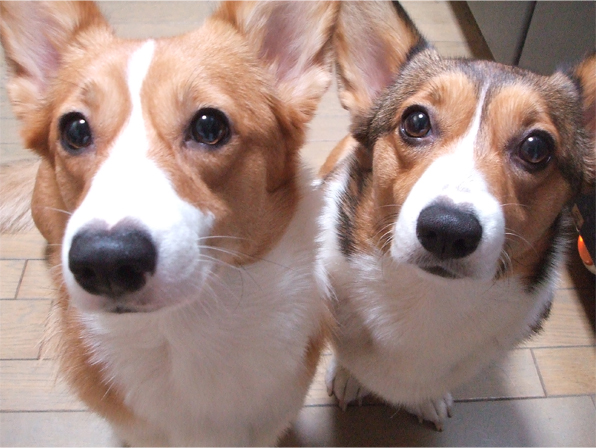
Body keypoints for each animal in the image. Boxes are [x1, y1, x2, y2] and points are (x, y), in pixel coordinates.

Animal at [317, 1, 595, 431]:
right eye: (415, 121)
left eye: (536, 147)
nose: (448, 231)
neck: (429, 299)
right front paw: (349, 377)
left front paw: (426, 399)